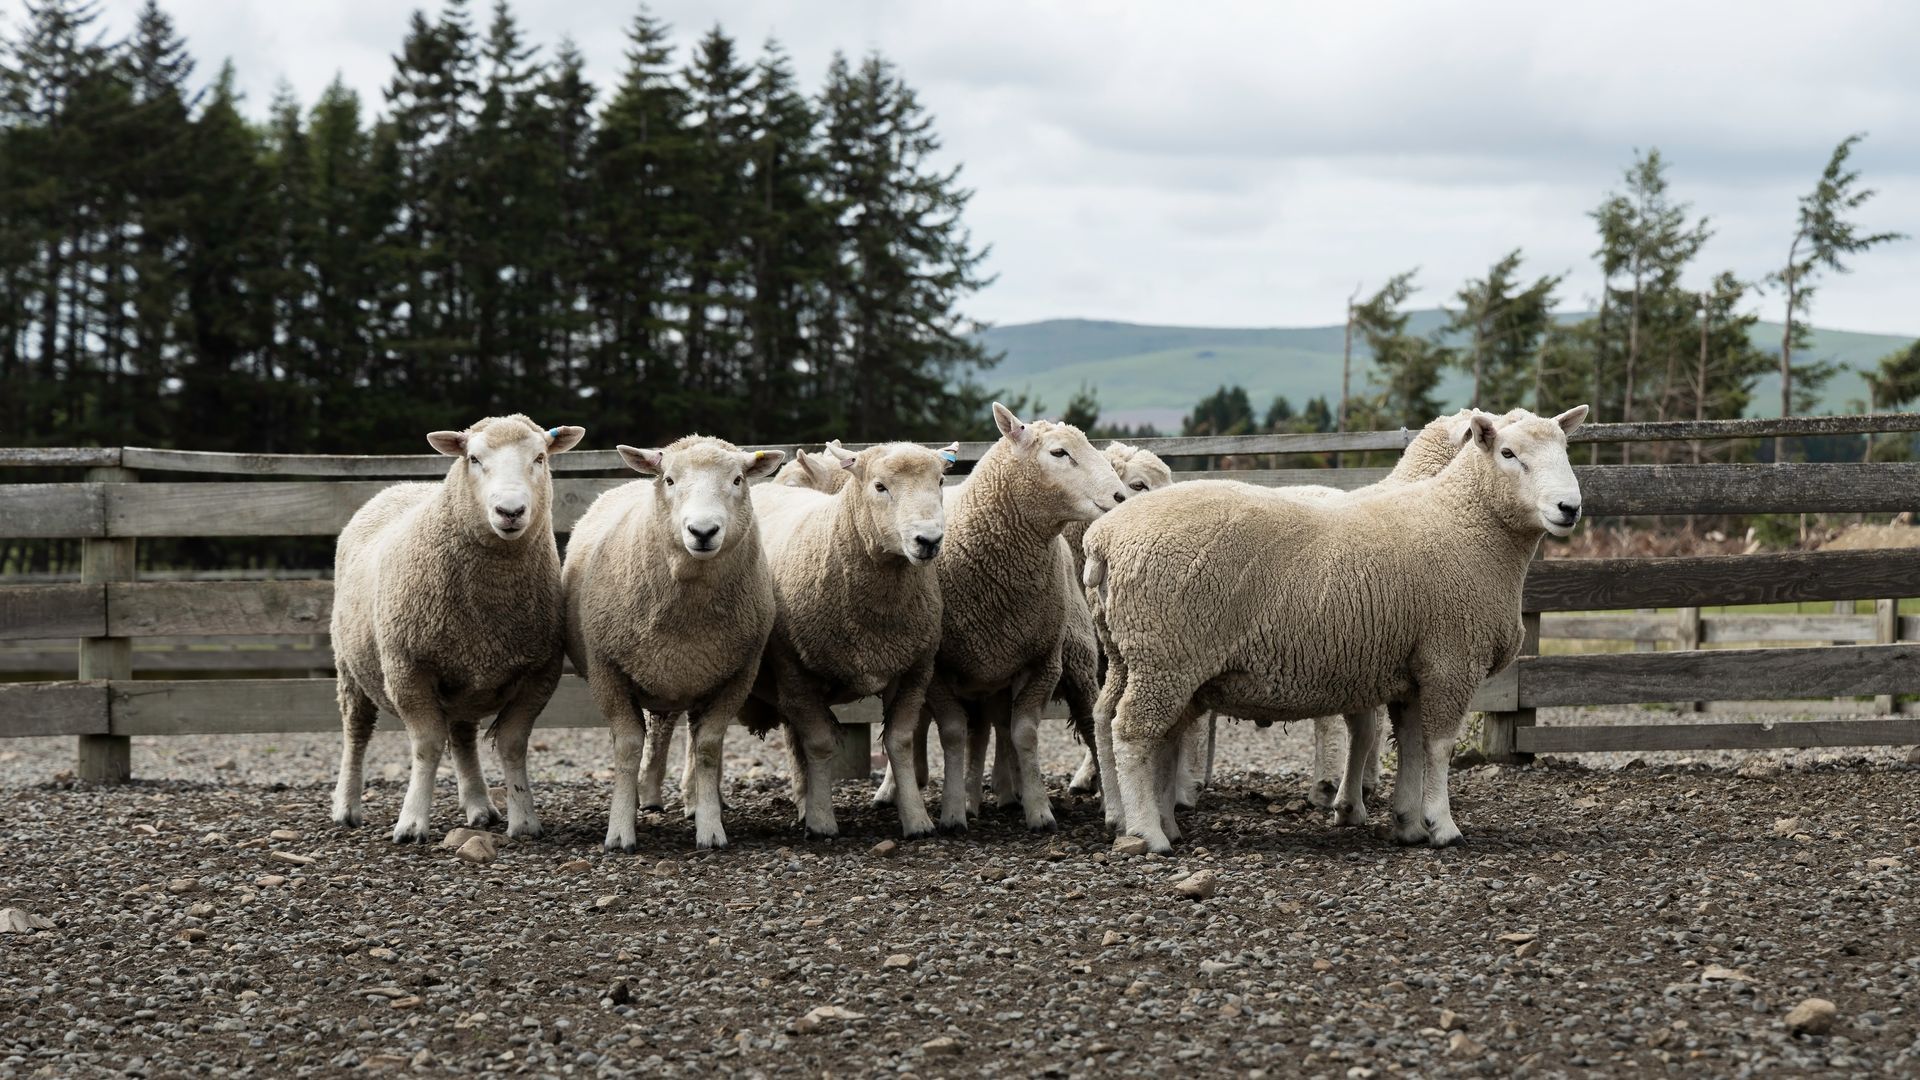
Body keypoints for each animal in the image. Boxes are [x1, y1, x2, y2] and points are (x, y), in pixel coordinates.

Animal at [330, 415, 586, 843]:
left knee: (464, 738)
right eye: (474, 458)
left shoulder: (541, 672)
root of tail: (402, 486)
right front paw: (412, 823)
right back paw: (346, 807)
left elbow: (513, 744)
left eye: (540, 457)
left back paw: (479, 807)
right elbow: (427, 746)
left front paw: (524, 819)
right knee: (356, 731)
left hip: (467, 681)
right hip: (350, 667)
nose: (510, 511)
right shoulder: (407, 668)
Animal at [563, 436, 785, 851]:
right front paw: (620, 829)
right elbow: (628, 747)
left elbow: (708, 747)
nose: (703, 531)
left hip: (689, 675)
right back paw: (648, 797)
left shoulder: (736, 676)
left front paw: (710, 827)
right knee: (660, 730)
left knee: (681, 734)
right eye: (668, 479)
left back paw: (692, 800)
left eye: (737, 480)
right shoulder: (607, 671)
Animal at [738, 442, 952, 837]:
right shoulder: (795, 671)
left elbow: (899, 742)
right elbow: (821, 744)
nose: (928, 541)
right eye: (880, 486)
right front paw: (822, 822)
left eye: (941, 481)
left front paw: (916, 819)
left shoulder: (915, 670)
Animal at [925, 403, 1130, 831]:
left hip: (1075, 656)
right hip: (985, 675)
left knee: (1089, 725)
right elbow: (953, 734)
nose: (1120, 496)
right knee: (979, 733)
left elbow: (1024, 735)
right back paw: (974, 797)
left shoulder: (1043, 661)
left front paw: (1038, 810)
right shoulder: (936, 669)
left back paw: (1109, 805)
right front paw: (953, 812)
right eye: (1058, 453)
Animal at [1084, 405, 1587, 851]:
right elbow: (1438, 747)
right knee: (1133, 732)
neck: (1465, 522)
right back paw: (1147, 832)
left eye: (1565, 449)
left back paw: (1153, 822)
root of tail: (1104, 538)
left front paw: (1407, 823)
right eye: (1508, 453)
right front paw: (1442, 825)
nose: (1570, 507)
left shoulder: (1413, 668)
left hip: (1135, 653)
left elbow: (1409, 745)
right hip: (1165, 653)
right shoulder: (1451, 659)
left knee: (1119, 721)